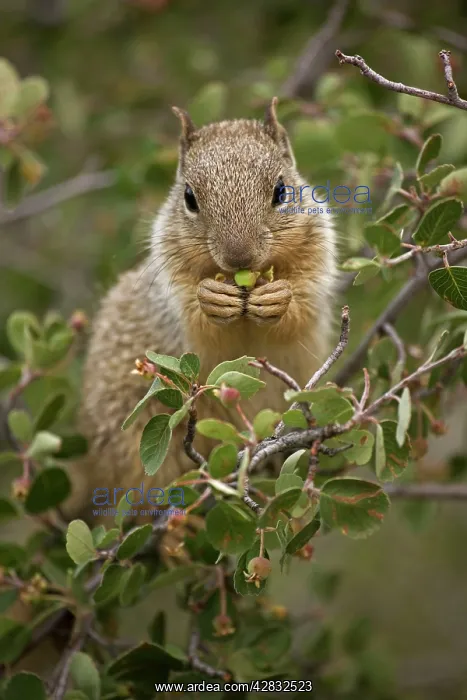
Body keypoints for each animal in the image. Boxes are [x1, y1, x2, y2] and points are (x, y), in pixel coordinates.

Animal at [61, 97, 337, 524]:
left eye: (282, 191)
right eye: (189, 198)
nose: (238, 256)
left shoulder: (318, 258)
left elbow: (303, 306)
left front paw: (279, 297)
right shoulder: (169, 289)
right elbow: (196, 319)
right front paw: (212, 298)